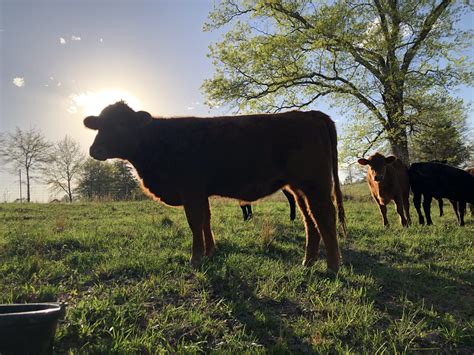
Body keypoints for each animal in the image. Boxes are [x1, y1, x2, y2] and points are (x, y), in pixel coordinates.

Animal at [83, 101, 346, 274]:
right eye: (99, 125)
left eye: (121, 124)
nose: (95, 150)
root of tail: (310, 114)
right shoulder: (200, 193)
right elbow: (205, 220)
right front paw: (210, 252)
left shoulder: (190, 189)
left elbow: (195, 222)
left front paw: (195, 258)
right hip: (299, 188)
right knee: (310, 219)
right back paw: (308, 261)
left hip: (316, 184)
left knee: (325, 217)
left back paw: (332, 266)